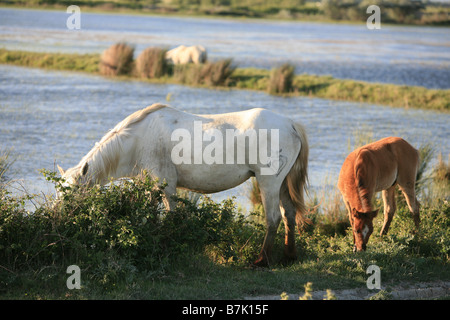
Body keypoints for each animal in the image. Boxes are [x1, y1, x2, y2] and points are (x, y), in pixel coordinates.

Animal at [57, 104, 310, 266]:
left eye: (73, 194)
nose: (61, 219)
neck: (137, 140)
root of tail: (290, 124)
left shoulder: (166, 186)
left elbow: (170, 218)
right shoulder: (152, 188)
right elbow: (150, 217)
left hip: (269, 183)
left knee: (273, 219)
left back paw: (261, 261)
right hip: (282, 185)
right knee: (288, 214)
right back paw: (289, 256)